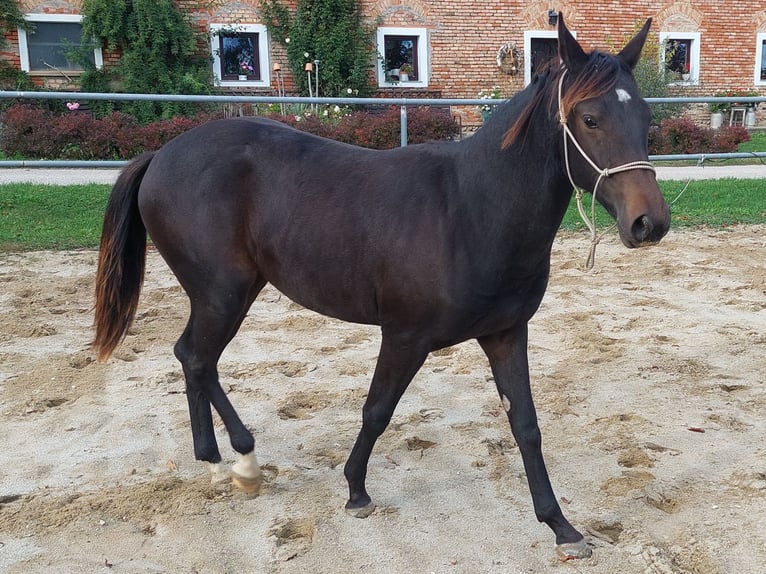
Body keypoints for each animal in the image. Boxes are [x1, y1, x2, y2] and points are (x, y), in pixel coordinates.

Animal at [93, 16, 668, 560]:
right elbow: (377, 410)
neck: (470, 210)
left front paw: (561, 526)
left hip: (231, 292)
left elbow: (526, 426)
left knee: (195, 360)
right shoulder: (404, 337)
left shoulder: (506, 334)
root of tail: (160, 156)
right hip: (223, 294)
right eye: (589, 119)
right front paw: (355, 491)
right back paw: (240, 461)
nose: (650, 223)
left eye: (645, 118)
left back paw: (213, 460)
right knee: (196, 357)